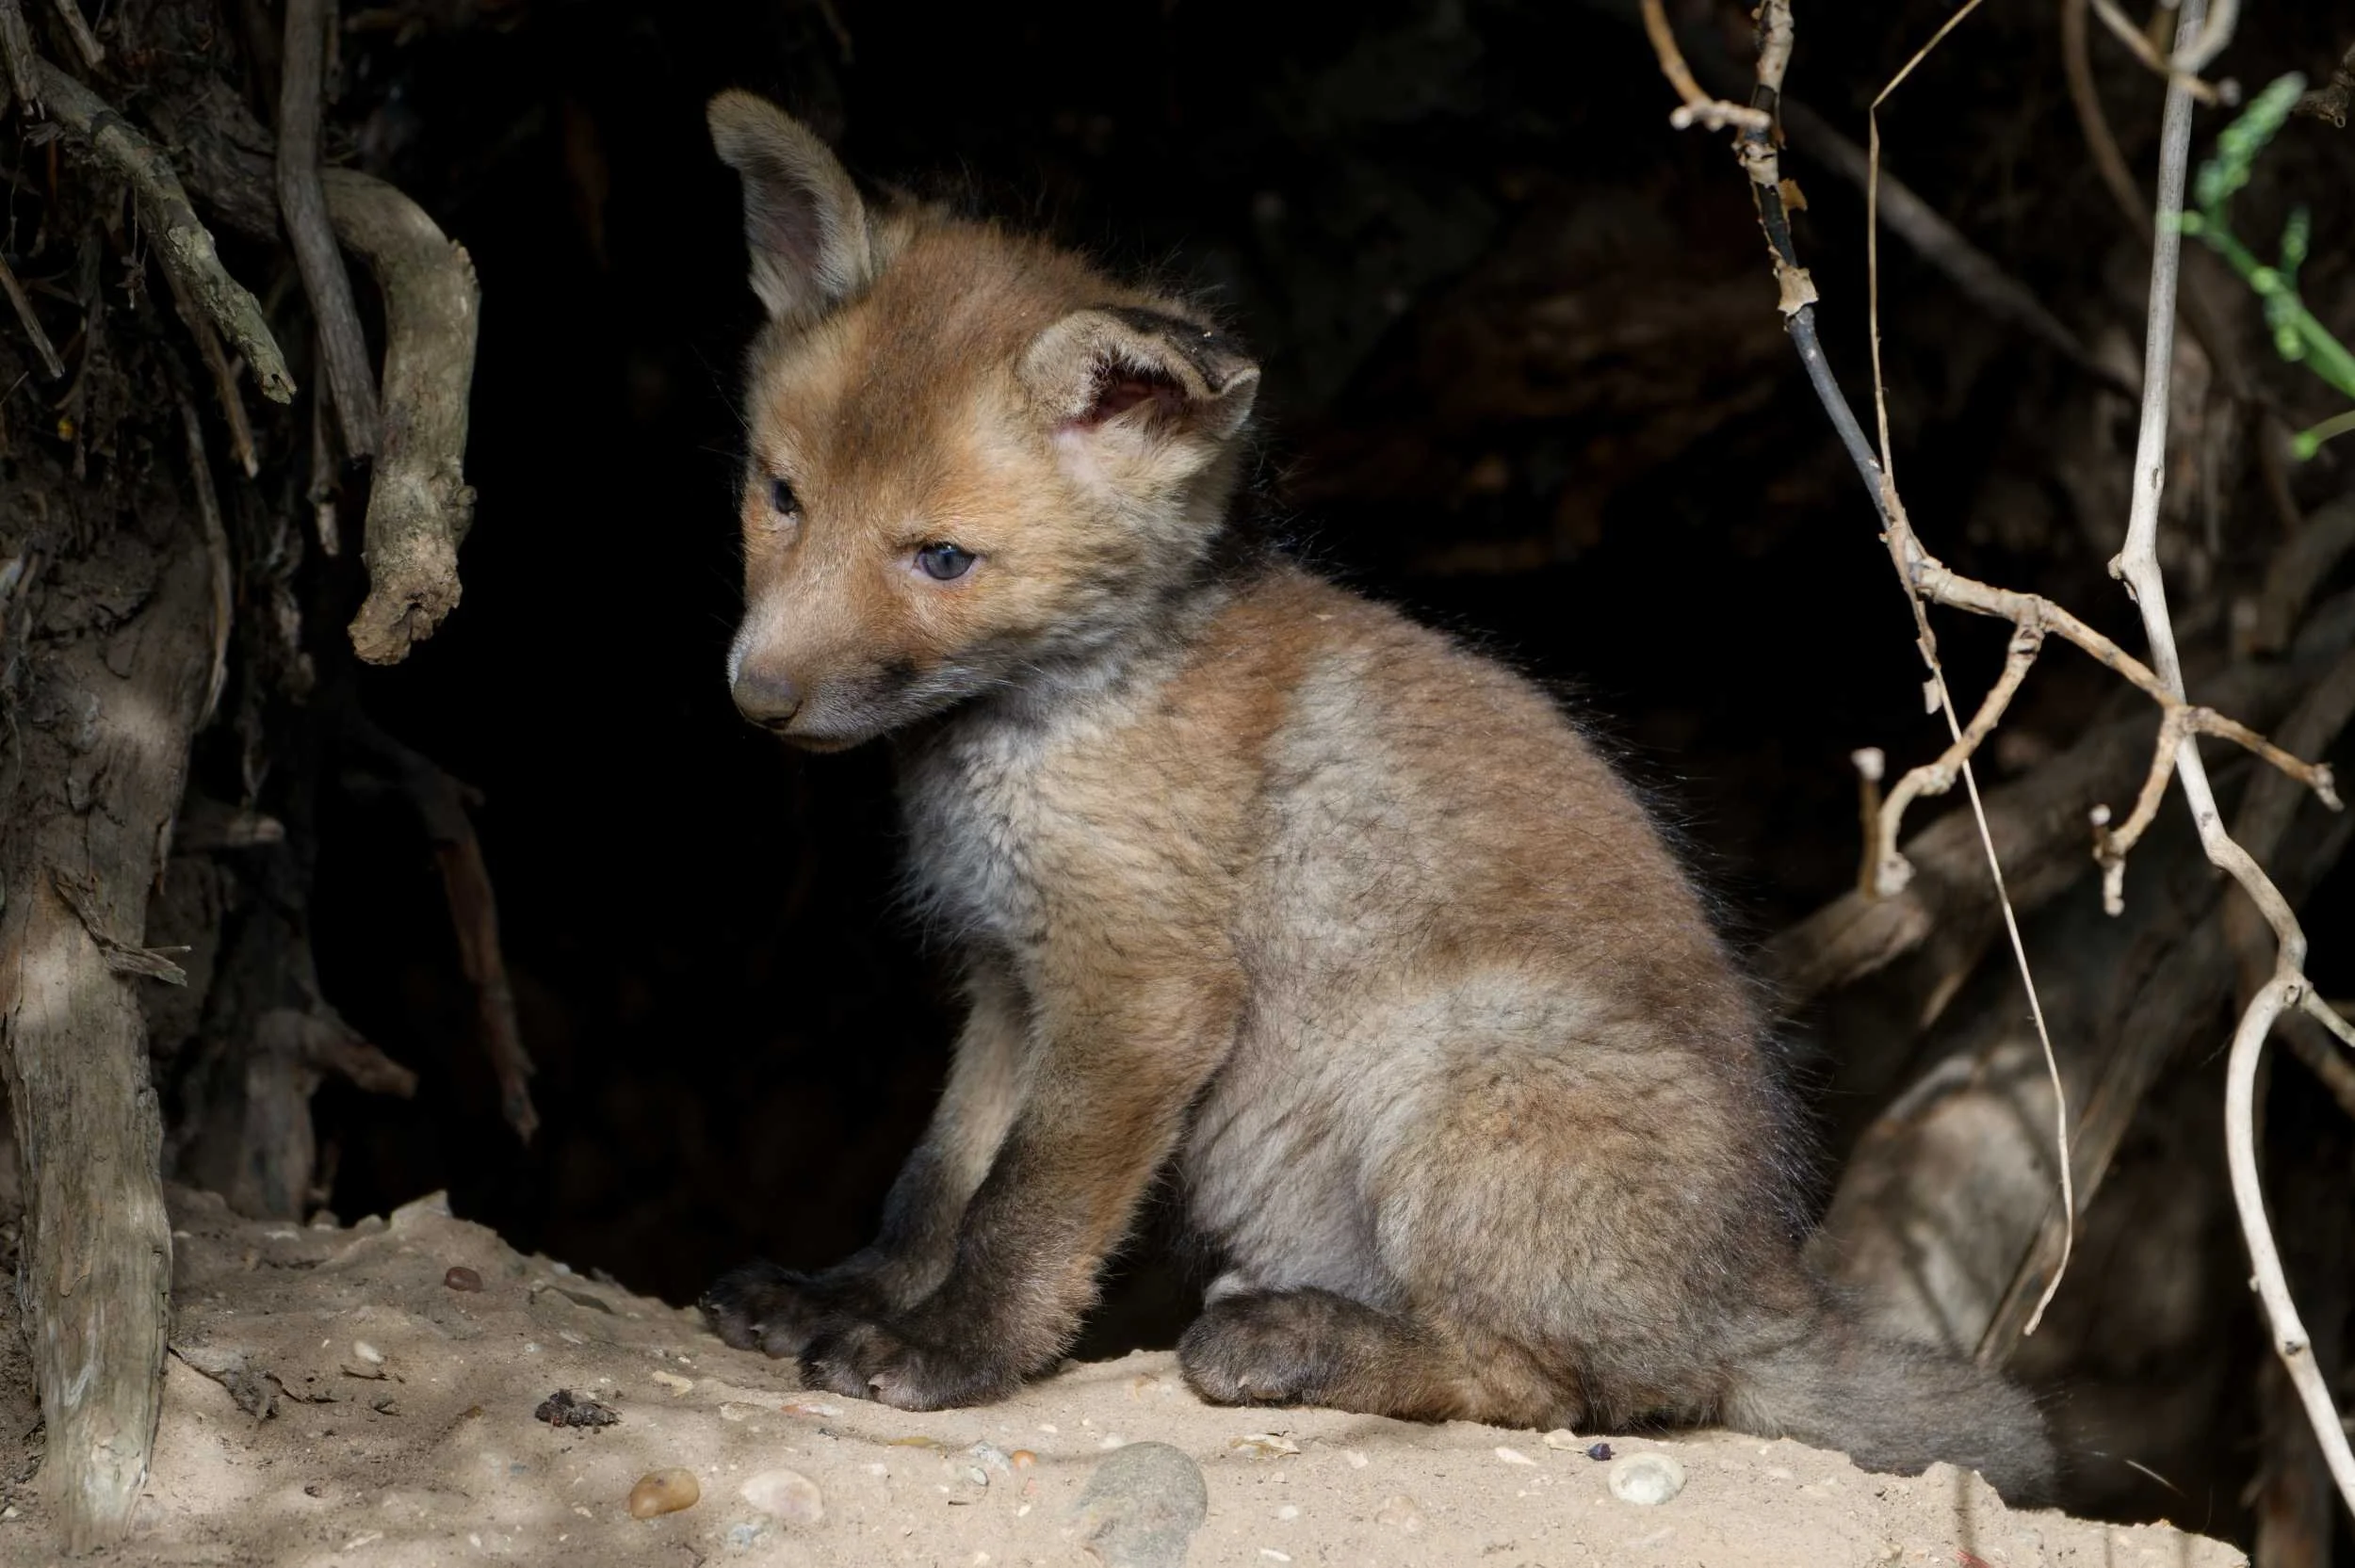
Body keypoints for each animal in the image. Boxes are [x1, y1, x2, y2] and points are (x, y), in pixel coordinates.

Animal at [695, 89, 2057, 1504]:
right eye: (782, 496)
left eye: (944, 559)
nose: (756, 697)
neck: (1074, 704)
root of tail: (1756, 1292)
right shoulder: (1013, 980)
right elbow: (937, 1180)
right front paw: (843, 1297)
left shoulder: (1139, 988)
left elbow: (1027, 1209)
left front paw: (952, 1353)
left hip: (1459, 1080)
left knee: (1567, 1387)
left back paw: (1297, 1342)